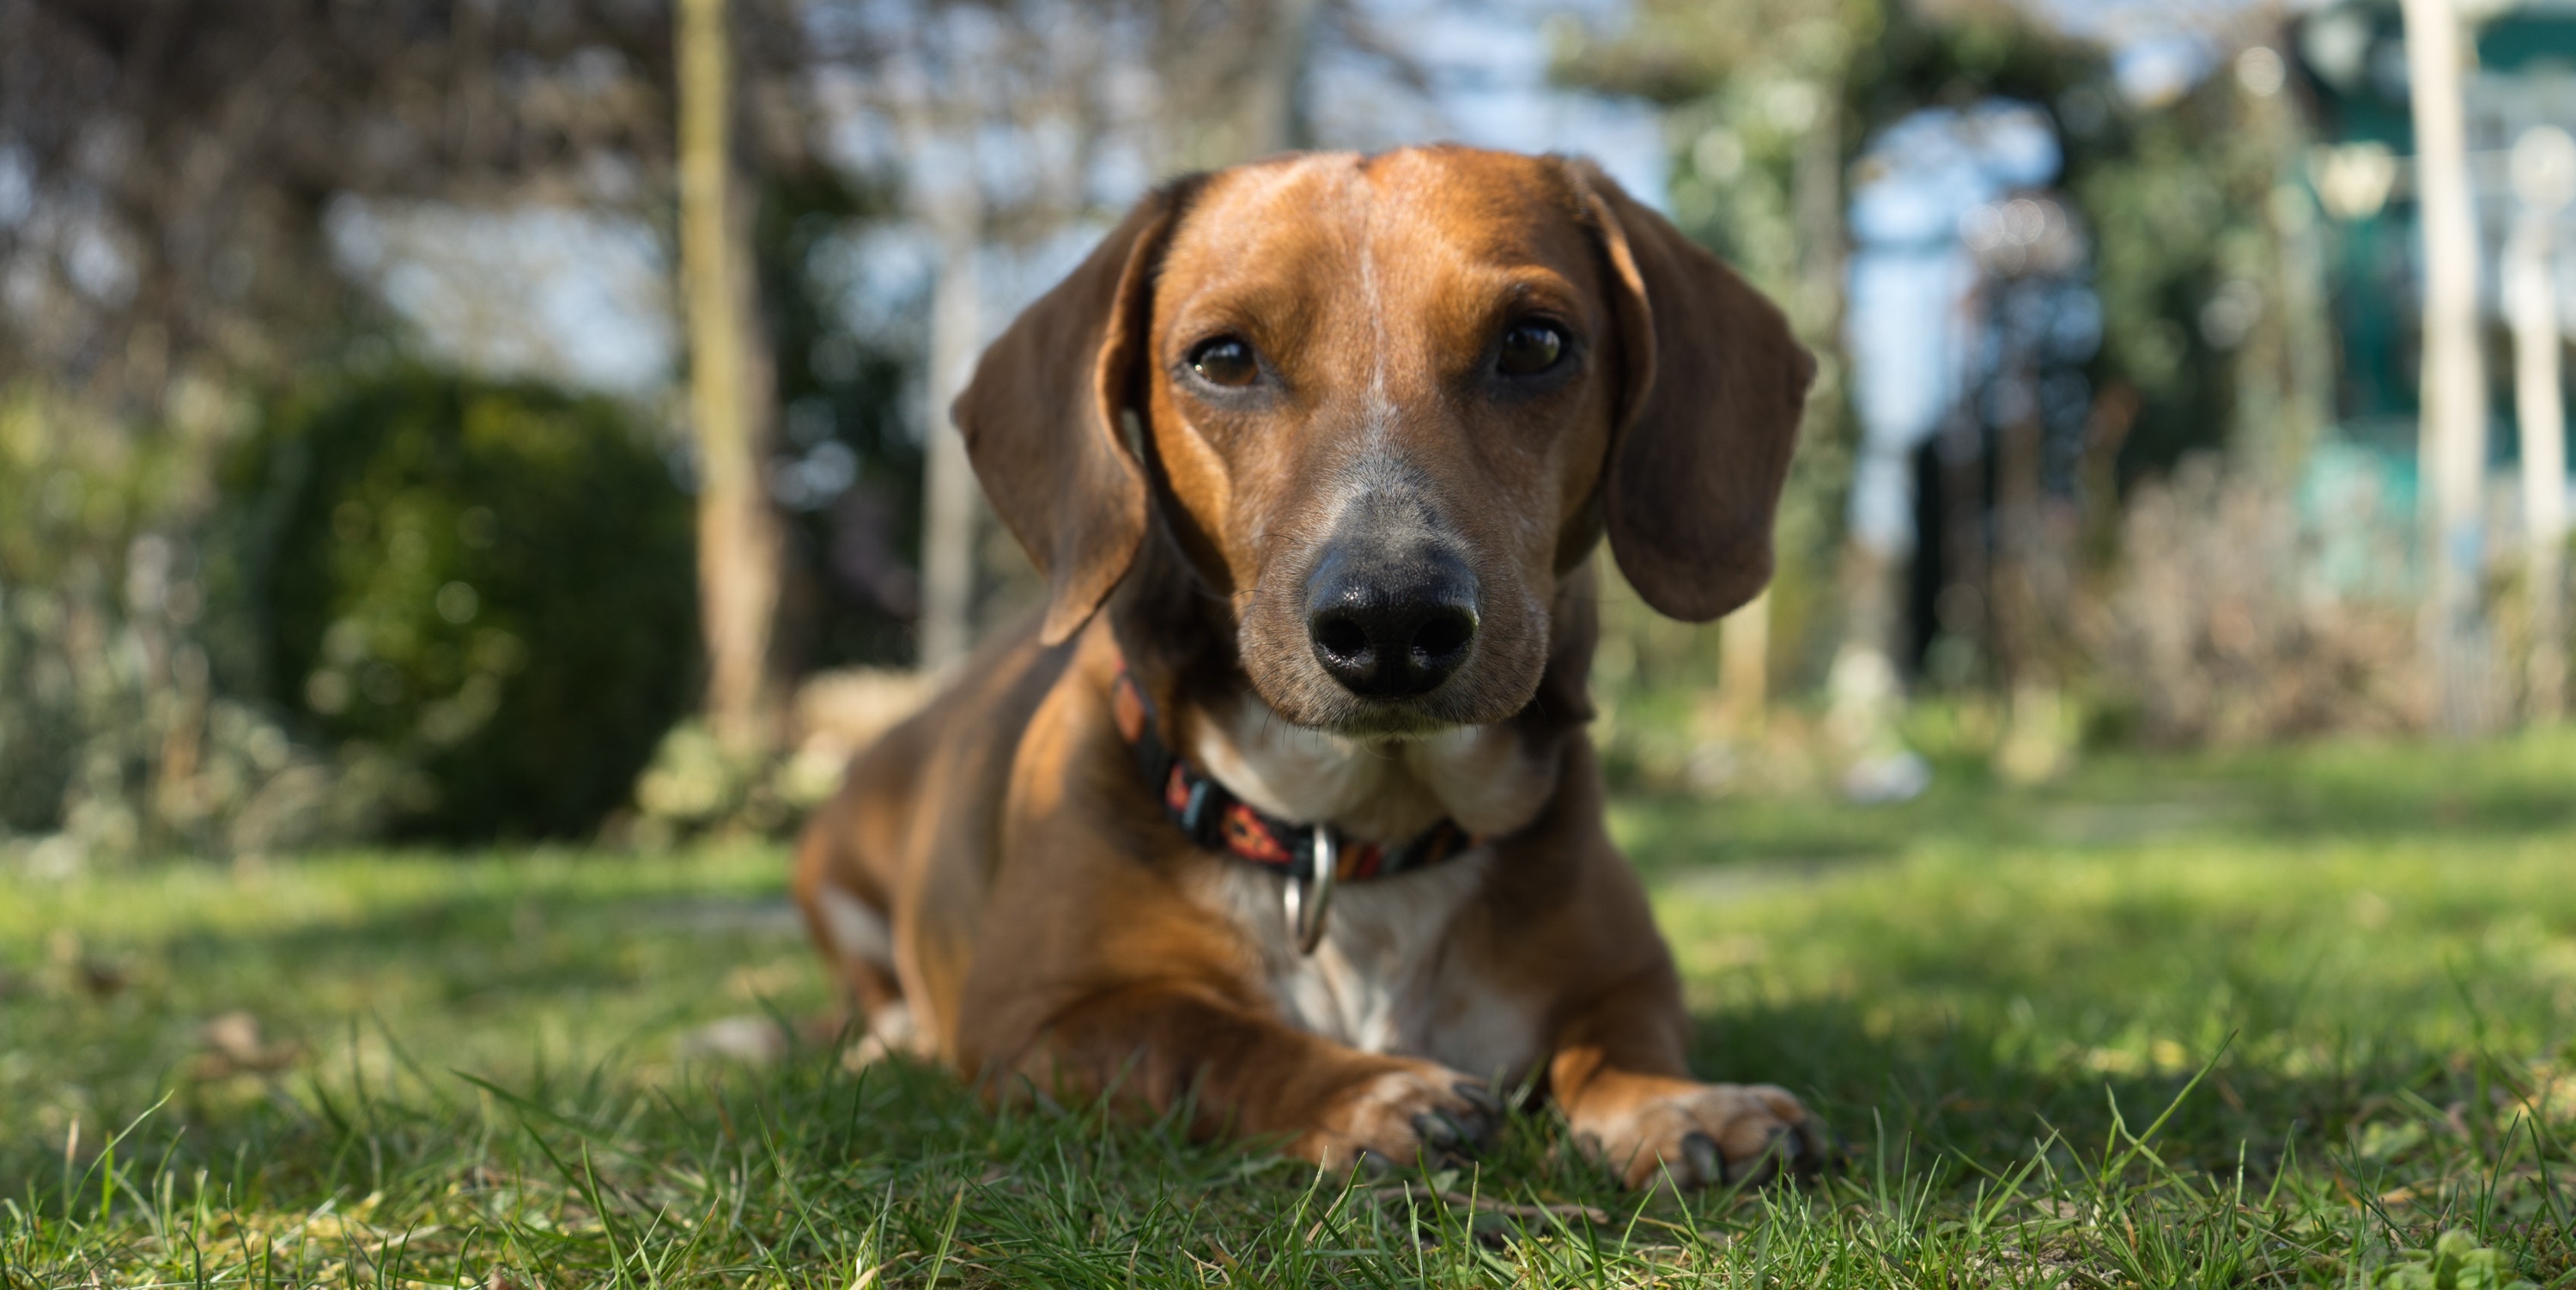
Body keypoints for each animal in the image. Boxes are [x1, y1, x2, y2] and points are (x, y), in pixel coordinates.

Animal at [793, 146, 1824, 1179]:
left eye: (1534, 343)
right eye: (1222, 358)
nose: (1393, 620)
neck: (1357, 840)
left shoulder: (1632, 975)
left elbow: (1618, 1040)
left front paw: (1677, 1100)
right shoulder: (1034, 1022)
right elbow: (1208, 1037)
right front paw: (1368, 1091)